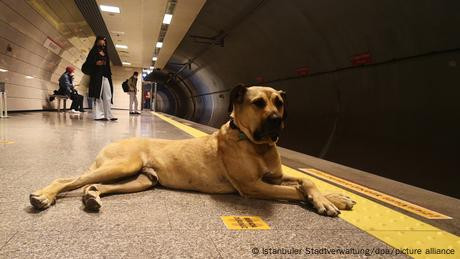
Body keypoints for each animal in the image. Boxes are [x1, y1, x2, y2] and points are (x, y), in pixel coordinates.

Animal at [29, 86, 356, 217]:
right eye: (258, 103)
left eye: (280, 102)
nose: (277, 120)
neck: (256, 144)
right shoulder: (253, 186)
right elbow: (296, 189)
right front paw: (325, 202)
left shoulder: (273, 177)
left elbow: (306, 181)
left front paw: (333, 197)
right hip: (122, 166)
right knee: (68, 180)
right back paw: (44, 196)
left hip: (140, 180)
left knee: (94, 185)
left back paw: (92, 198)